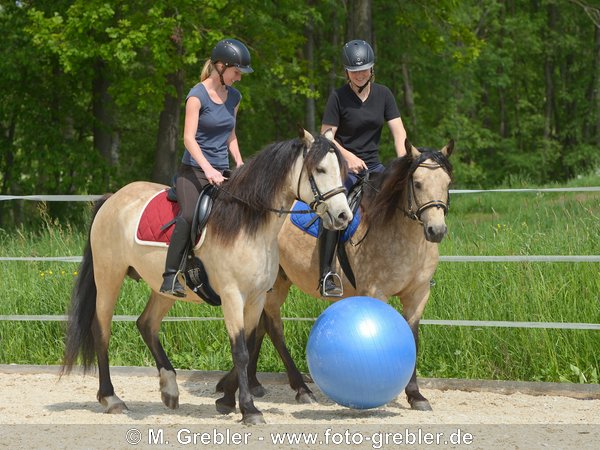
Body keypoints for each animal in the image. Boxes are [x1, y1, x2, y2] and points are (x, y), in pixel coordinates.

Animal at [61, 128, 352, 424]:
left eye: (341, 170)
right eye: (320, 169)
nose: (344, 216)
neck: (248, 225)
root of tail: (113, 198)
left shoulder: (256, 297)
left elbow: (248, 343)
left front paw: (226, 399)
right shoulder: (233, 296)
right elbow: (240, 351)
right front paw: (249, 410)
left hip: (163, 288)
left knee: (147, 324)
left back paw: (169, 389)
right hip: (109, 275)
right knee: (102, 329)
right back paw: (111, 398)